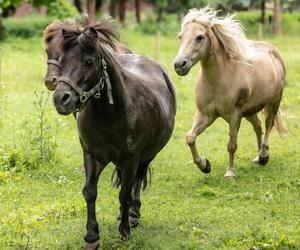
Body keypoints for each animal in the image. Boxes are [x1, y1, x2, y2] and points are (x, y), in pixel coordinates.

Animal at [51, 25, 176, 248]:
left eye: (89, 62)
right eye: (62, 61)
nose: (60, 99)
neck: (110, 114)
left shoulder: (131, 159)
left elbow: (124, 193)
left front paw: (124, 231)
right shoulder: (91, 154)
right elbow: (90, 192)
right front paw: (91, 236)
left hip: (147, 156)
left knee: (137, 180)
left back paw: (133, 214)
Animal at [173, 7, 286, 178]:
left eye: (200, 37)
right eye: (180, 36)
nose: (179, 65)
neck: (218, 81)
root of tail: (273, 51)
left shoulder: (234, 115)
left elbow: (232, 145)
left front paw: (230, 173)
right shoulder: (205, 115)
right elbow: (190, 137)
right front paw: (205, 165)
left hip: (274, 102)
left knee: (268, 124)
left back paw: (264, 155)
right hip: (249, 111)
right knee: (258, 127)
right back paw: (258, 157)